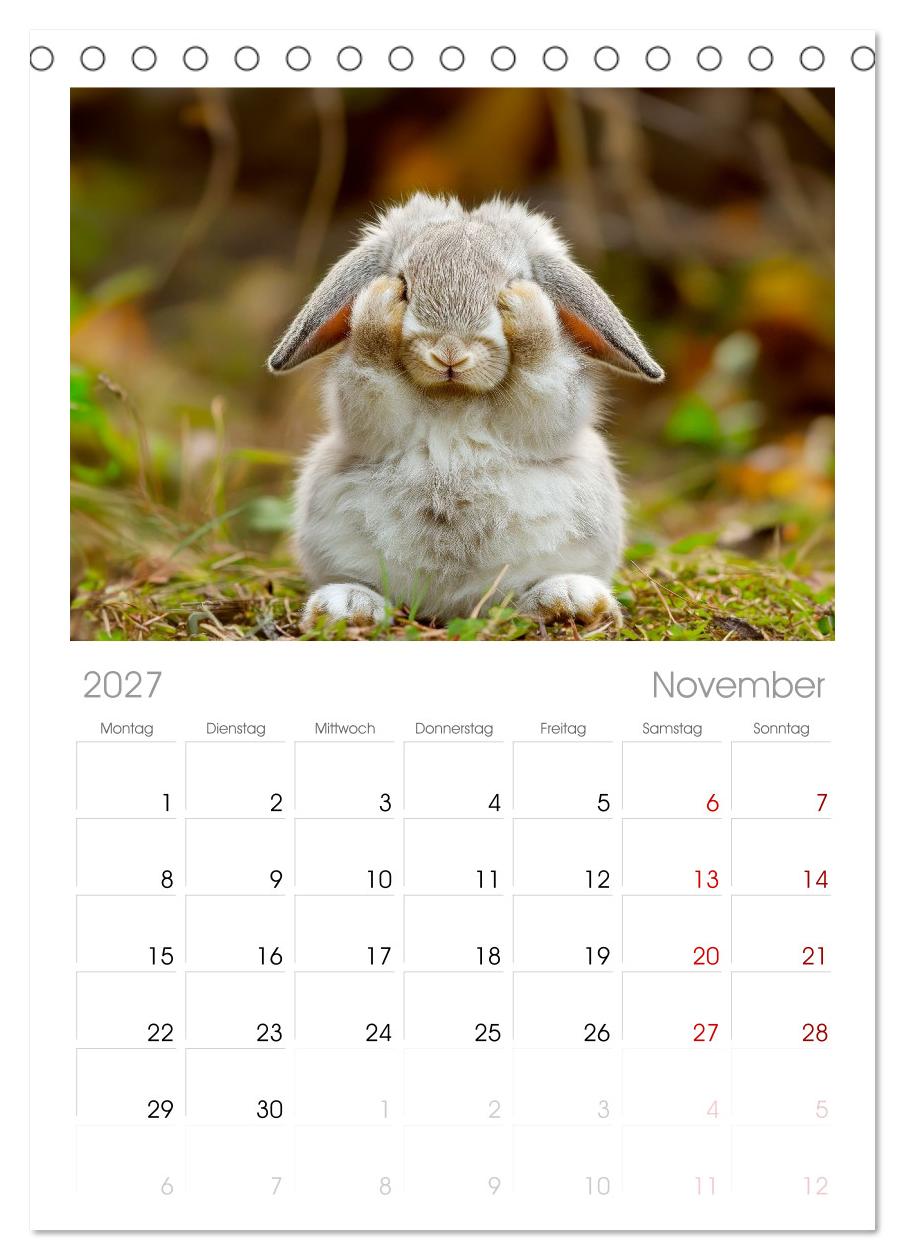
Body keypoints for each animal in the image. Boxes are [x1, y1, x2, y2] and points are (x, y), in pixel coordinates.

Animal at [268, 194, 663, 630]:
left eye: (504, 286)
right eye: (406, 286)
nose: (449, 353)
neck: (454, 396)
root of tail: (450, 607)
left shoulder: (550, 395)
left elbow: (541, 368)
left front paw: (526, 306)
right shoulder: (368, 401)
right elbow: (371, 372)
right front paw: (379, 303)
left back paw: (567, 603)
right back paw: (347, 608)